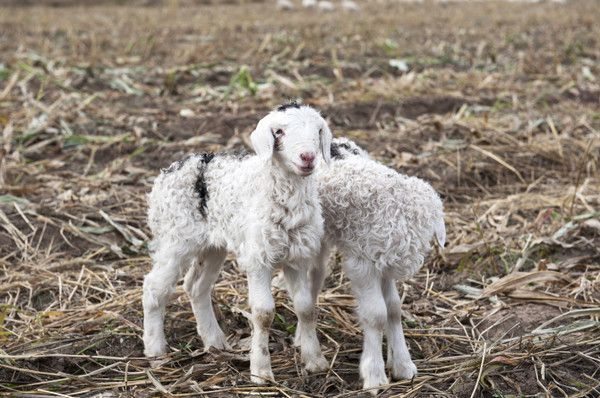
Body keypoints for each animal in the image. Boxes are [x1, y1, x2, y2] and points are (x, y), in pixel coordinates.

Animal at [144, 104, 336, 384]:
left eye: (318, 130)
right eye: (279, 131)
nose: (308, 157)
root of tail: (171, 170)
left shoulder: (297, 257)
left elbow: (306, 307)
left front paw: (315, 362)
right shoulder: (258, 258)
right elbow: (264, 313)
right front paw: (261, 371)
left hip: (212, 245)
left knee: (196, 286)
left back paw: (215, 342)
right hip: (175, 238)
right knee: (154, 289)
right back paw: (155, 350)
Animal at [308, 138, 442, 394]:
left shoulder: (385, 264)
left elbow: (394, 309)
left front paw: (402, 365)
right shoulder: (363, 263)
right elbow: (377, 314)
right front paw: (374, 375)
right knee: (313, 274)